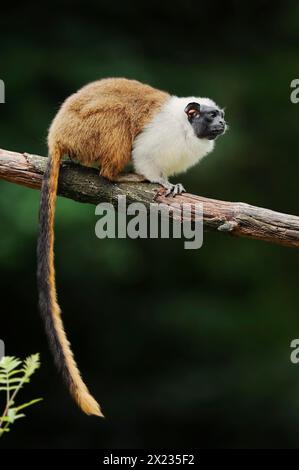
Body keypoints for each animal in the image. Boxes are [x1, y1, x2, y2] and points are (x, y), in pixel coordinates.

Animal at [38, 78, 227, 418]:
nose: (222, 124)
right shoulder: (160, 136)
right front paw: (158, 181)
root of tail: (56, 137)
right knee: (118, 123)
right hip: (87, 131)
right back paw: (118, 174)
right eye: (210, 116)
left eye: (220, 115)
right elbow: (143, 152)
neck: (185, 127)